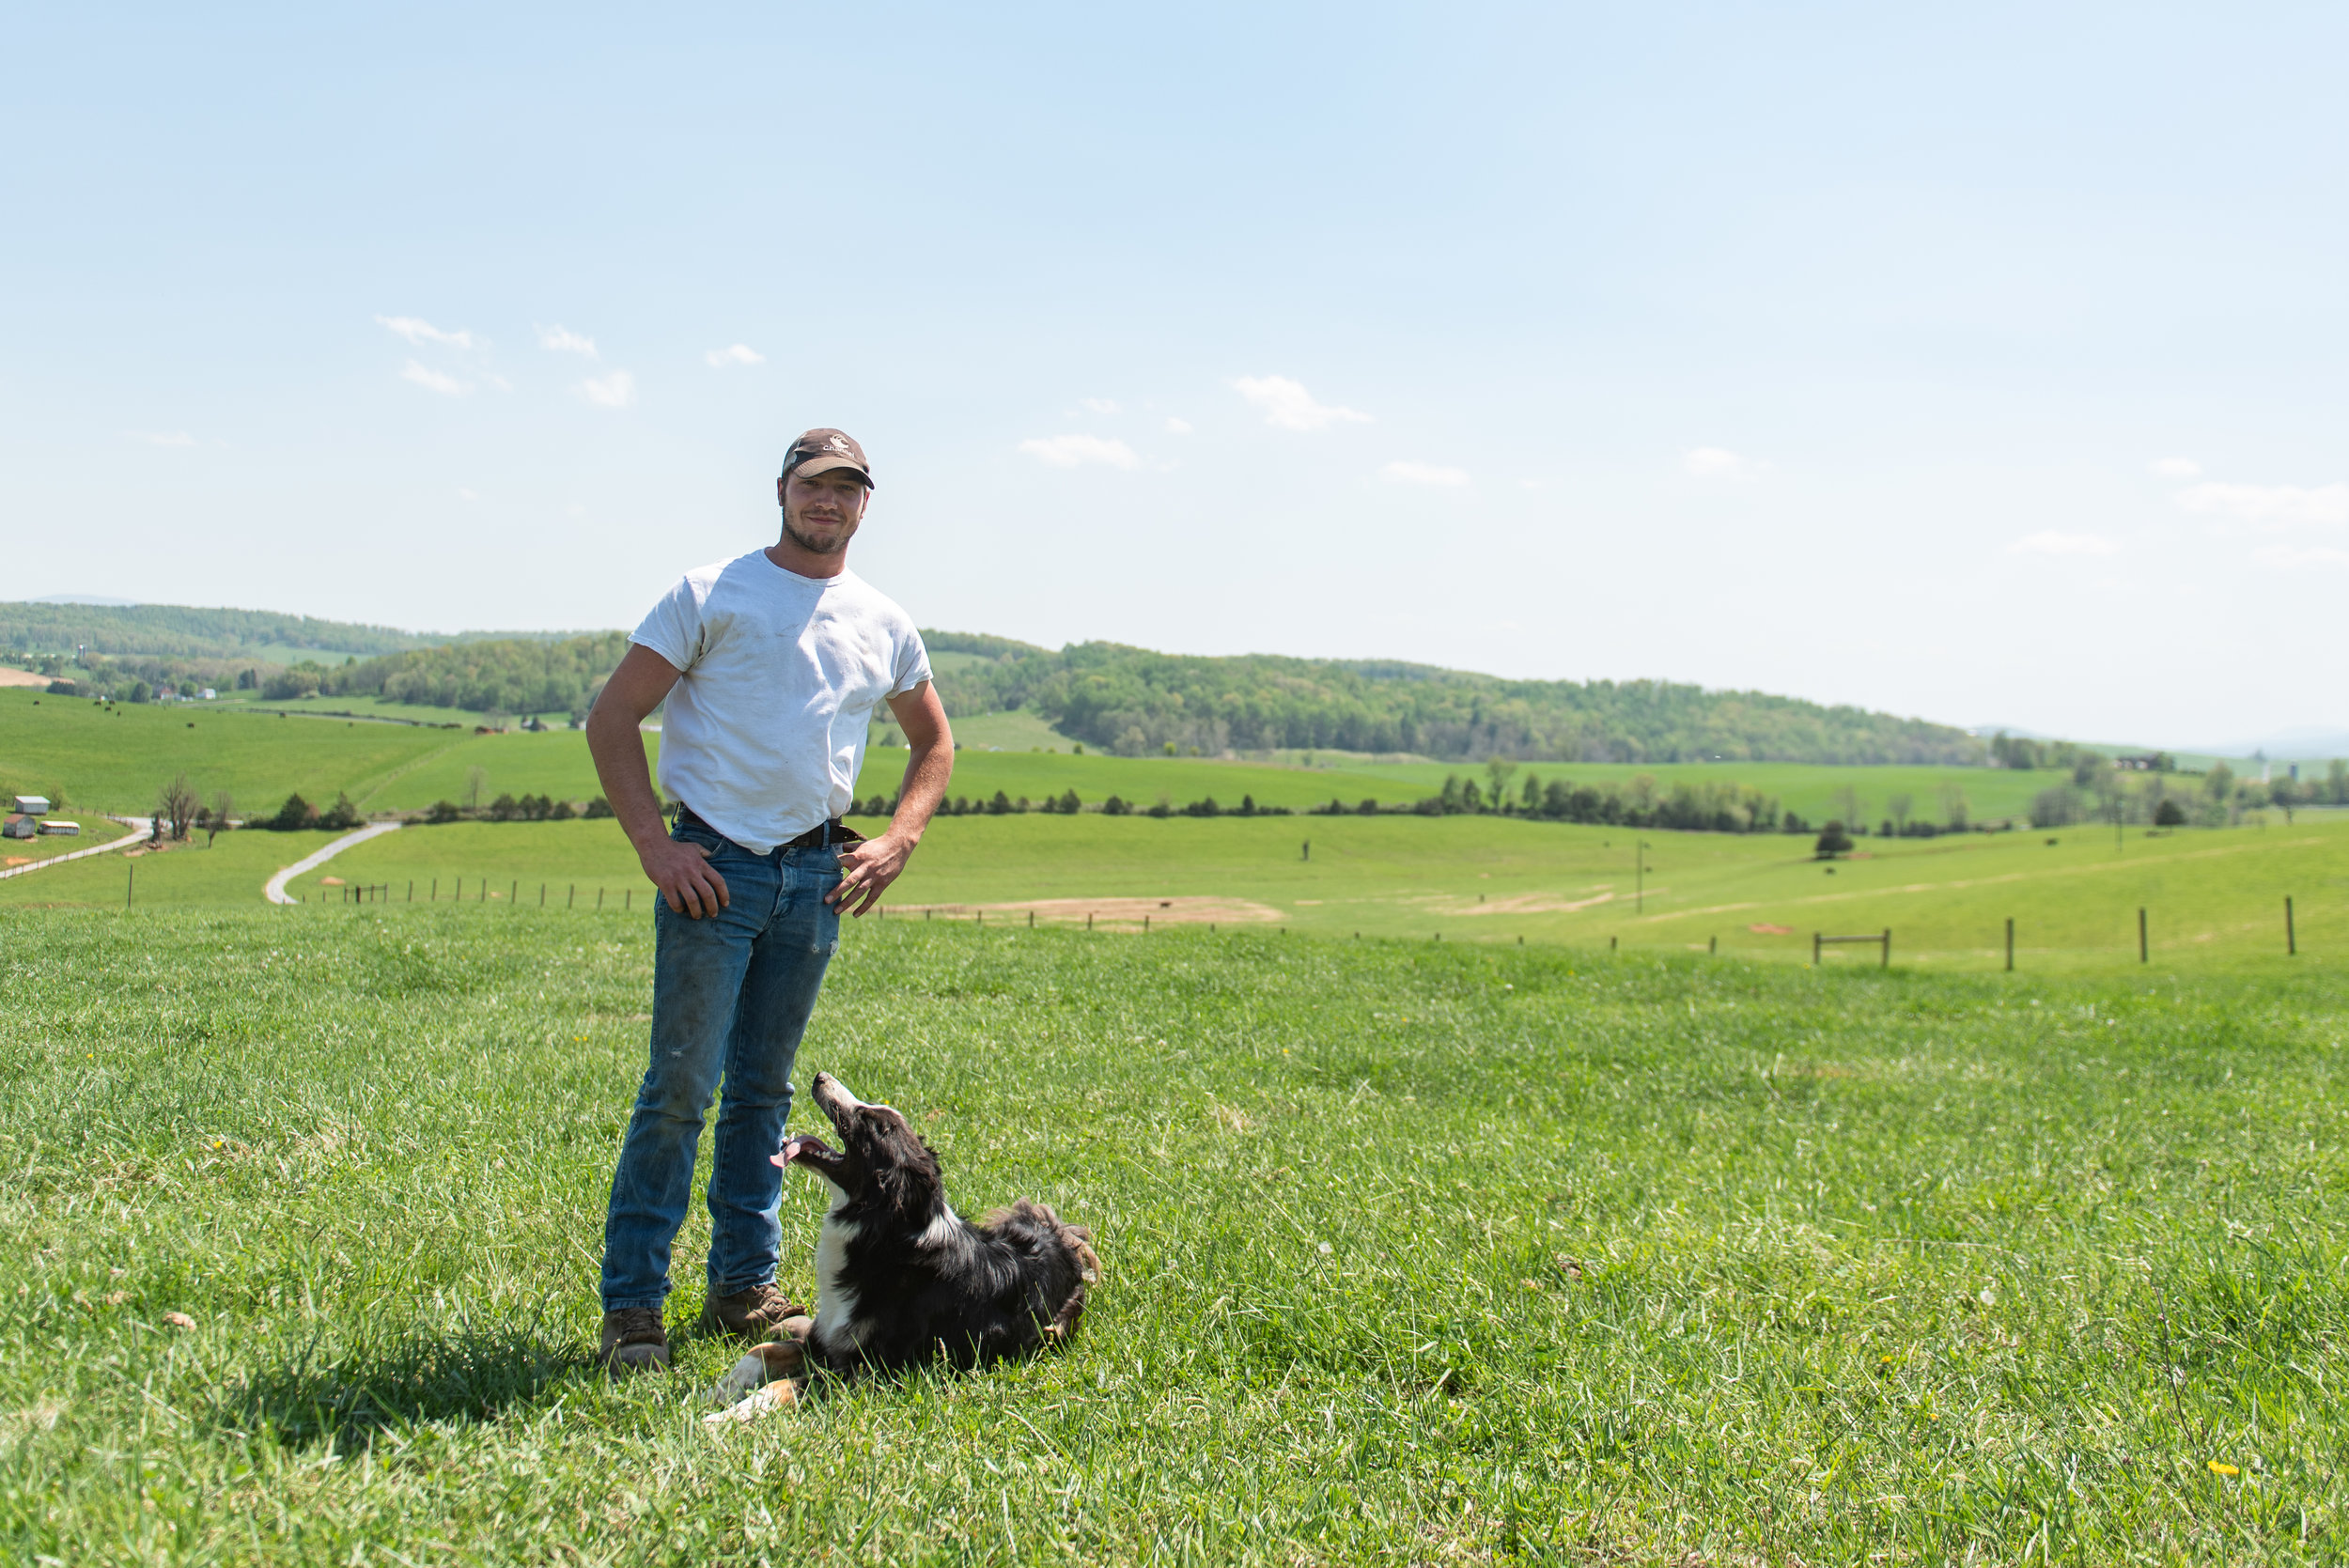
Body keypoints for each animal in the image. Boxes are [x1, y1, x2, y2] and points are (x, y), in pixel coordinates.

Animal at [770, 1070, 1099, 1380]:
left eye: (868, 1119)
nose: (820, 1076)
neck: (881, 1230)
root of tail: (1061, 1236)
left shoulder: (871, 1368)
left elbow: (796, 1384)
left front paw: (758, 1400)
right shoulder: (824, 1336)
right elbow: (769, 1350)